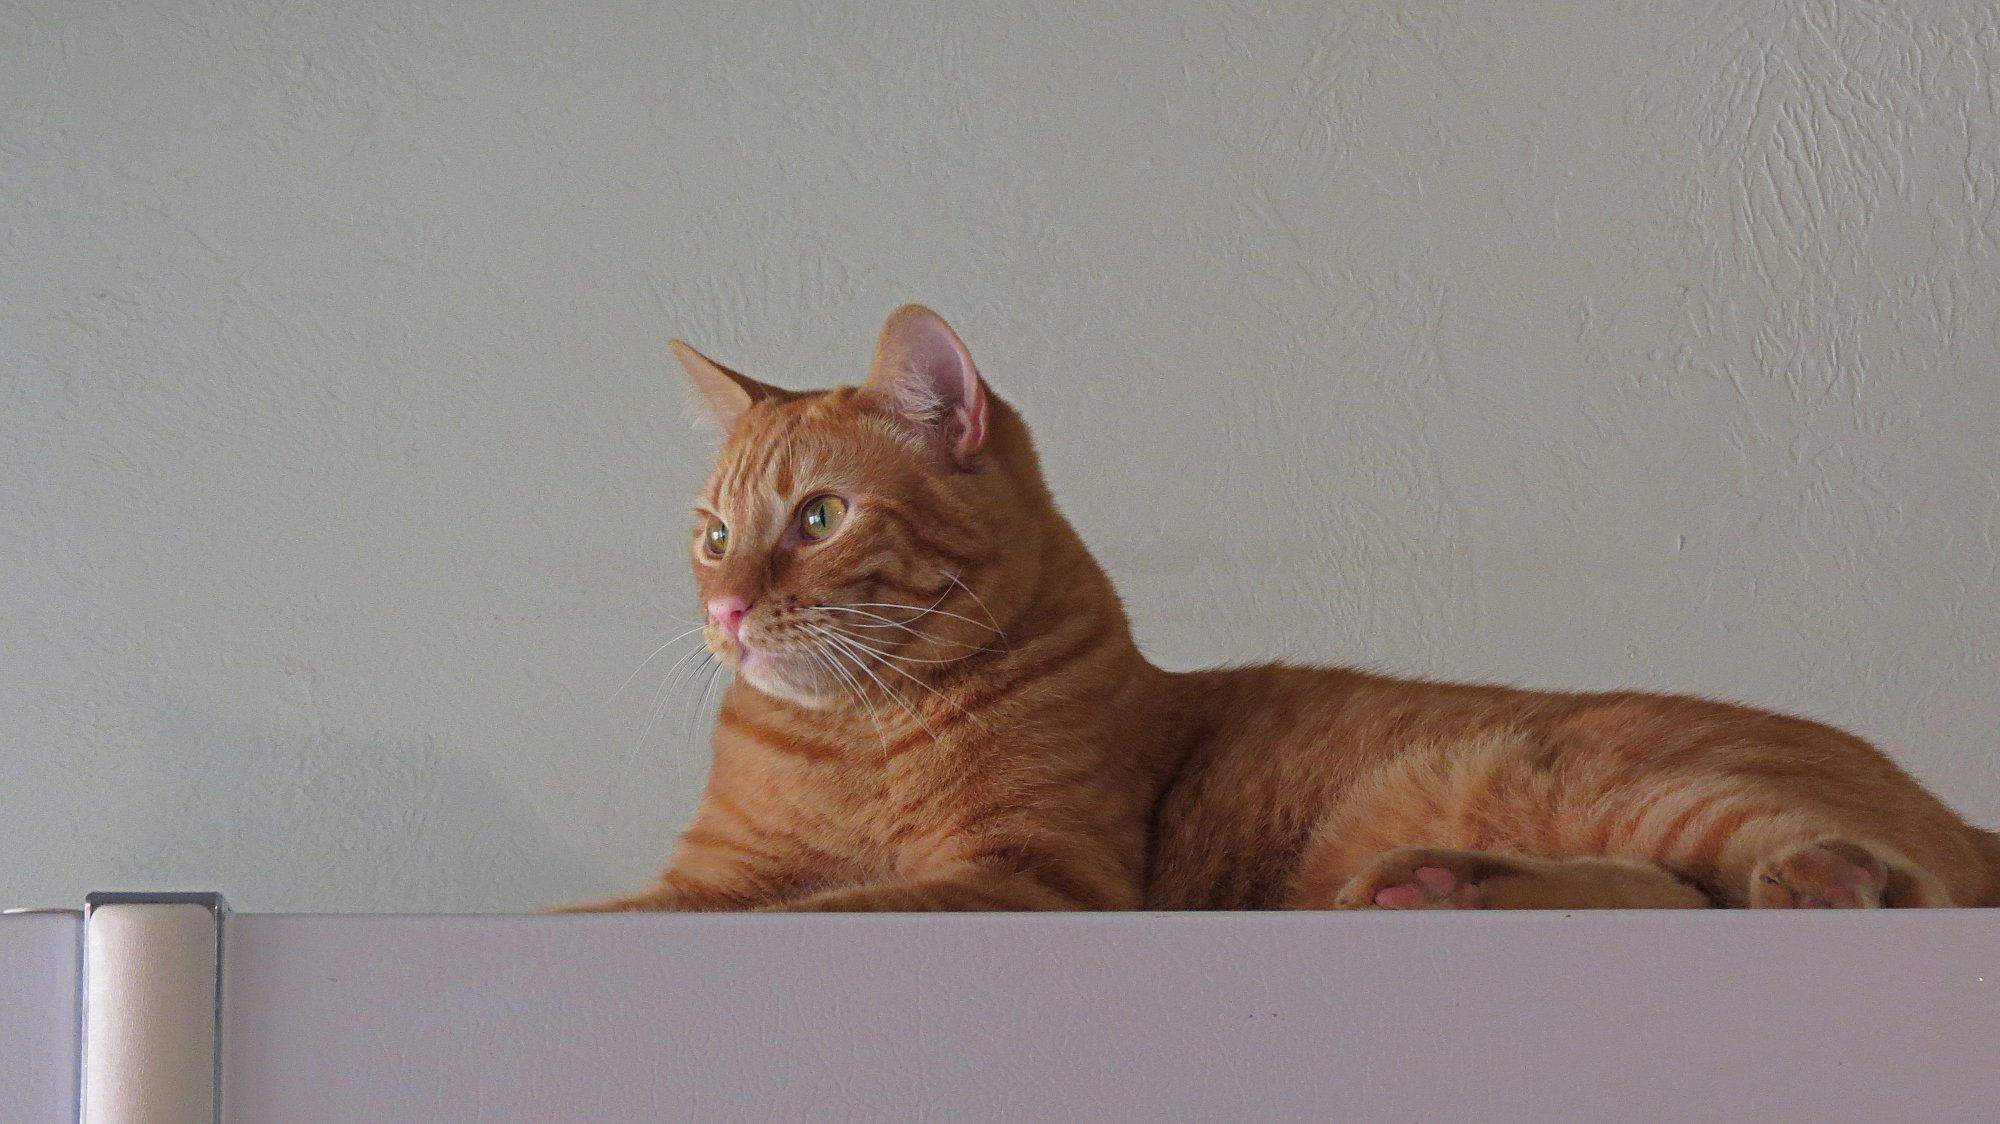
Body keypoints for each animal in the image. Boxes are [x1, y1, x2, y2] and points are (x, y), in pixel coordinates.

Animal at [564, 304, 2000, 912]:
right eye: (710, 537)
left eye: (817, 520)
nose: (727, 611)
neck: (853, 737)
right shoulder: (707, 880)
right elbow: (628, 917)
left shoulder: (1028, 882)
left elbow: (819, 913)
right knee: (1675, 896)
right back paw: (1438, 887)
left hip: (1606, 781)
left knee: (1880, 884)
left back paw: (1816, 877)